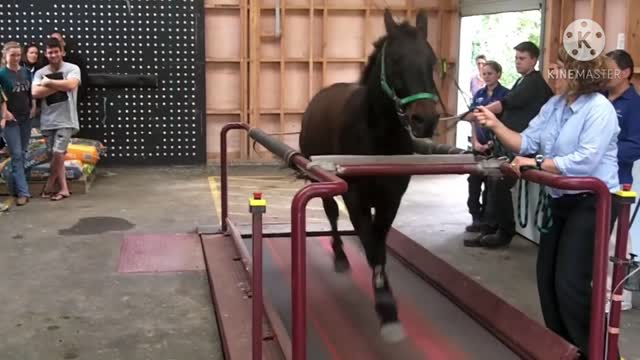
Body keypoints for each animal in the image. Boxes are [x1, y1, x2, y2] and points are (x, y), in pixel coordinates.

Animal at [298, 9, 440, 344]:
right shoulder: (354, 197)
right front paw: (386, 308)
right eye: (396, 60)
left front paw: (386, 302)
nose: (425, 120)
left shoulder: (391, 199)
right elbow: (371, 245)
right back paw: (339, 256)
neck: (377, 135)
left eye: (432, 60)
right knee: (332, 214)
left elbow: (379, 243)